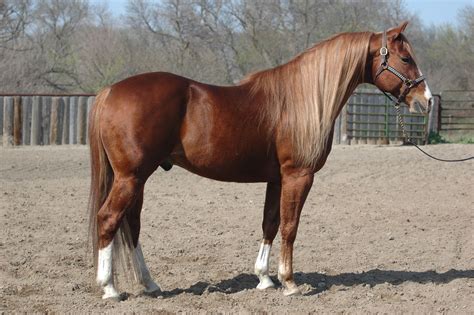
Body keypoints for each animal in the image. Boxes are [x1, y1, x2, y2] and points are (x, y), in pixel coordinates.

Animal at [89, 22, 434, 302]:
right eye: (406, 59)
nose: (426, 100)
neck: (300, 100)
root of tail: (109, 91)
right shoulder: (298, 176)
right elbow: (290, 226)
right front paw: (289, 282)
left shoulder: (277, 178)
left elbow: (270, 222)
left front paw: (265, 279)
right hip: (131, 177)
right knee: (108, 219)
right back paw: (109, 288)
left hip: (137, 178)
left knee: (132, 224)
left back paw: (149, 283)